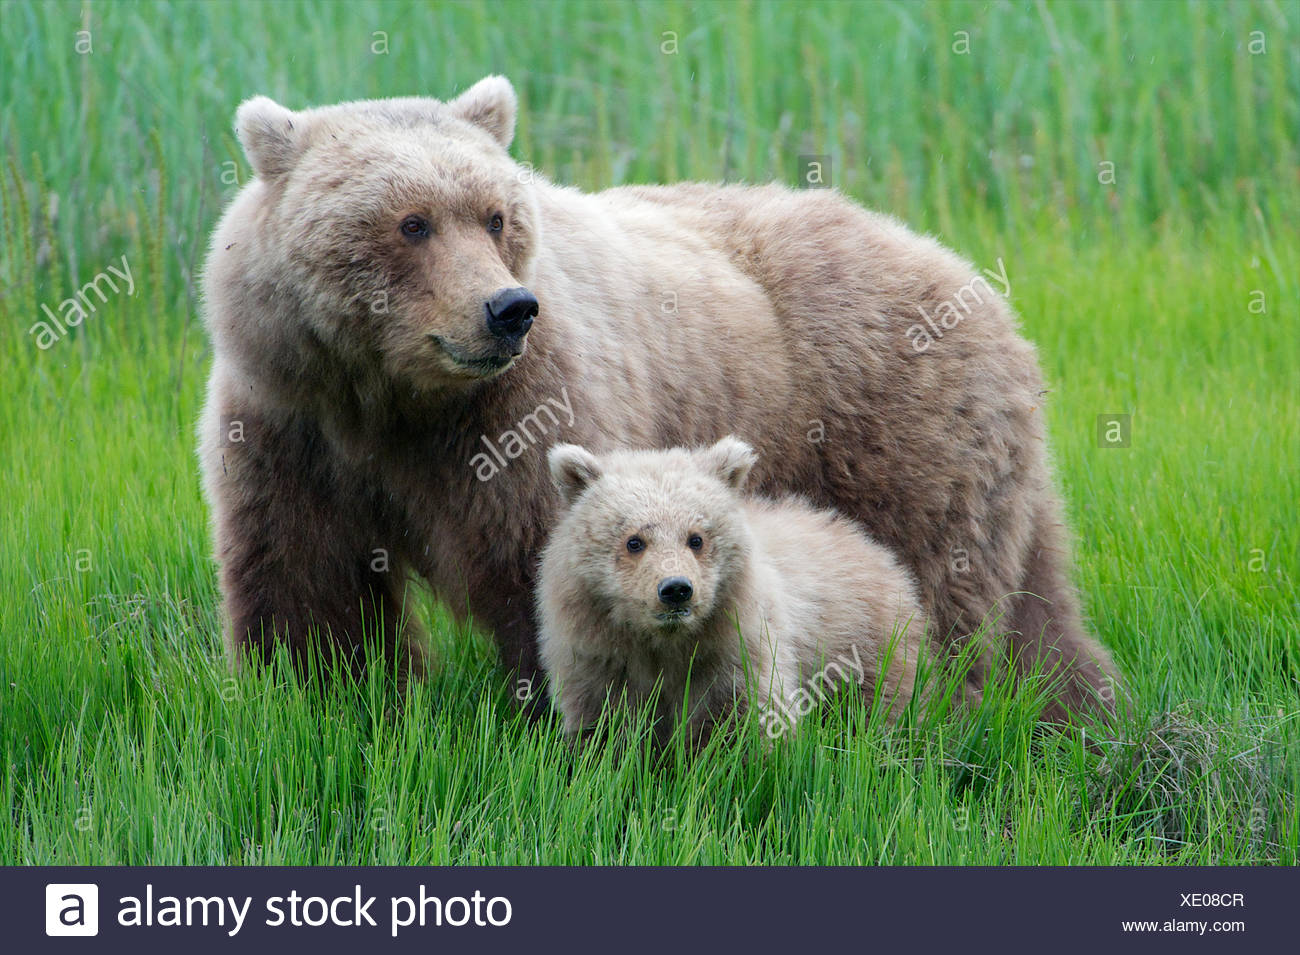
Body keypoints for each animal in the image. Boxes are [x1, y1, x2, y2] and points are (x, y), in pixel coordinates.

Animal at [537, 437, 932, 744]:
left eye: (696, 538)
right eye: (635, 541)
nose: (676, 589)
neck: (664, 643)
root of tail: (876, 549)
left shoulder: (735, 652)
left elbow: (747, 721)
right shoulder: (599, 659)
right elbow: (603, 729)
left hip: (865, 646)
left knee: (880, 709)